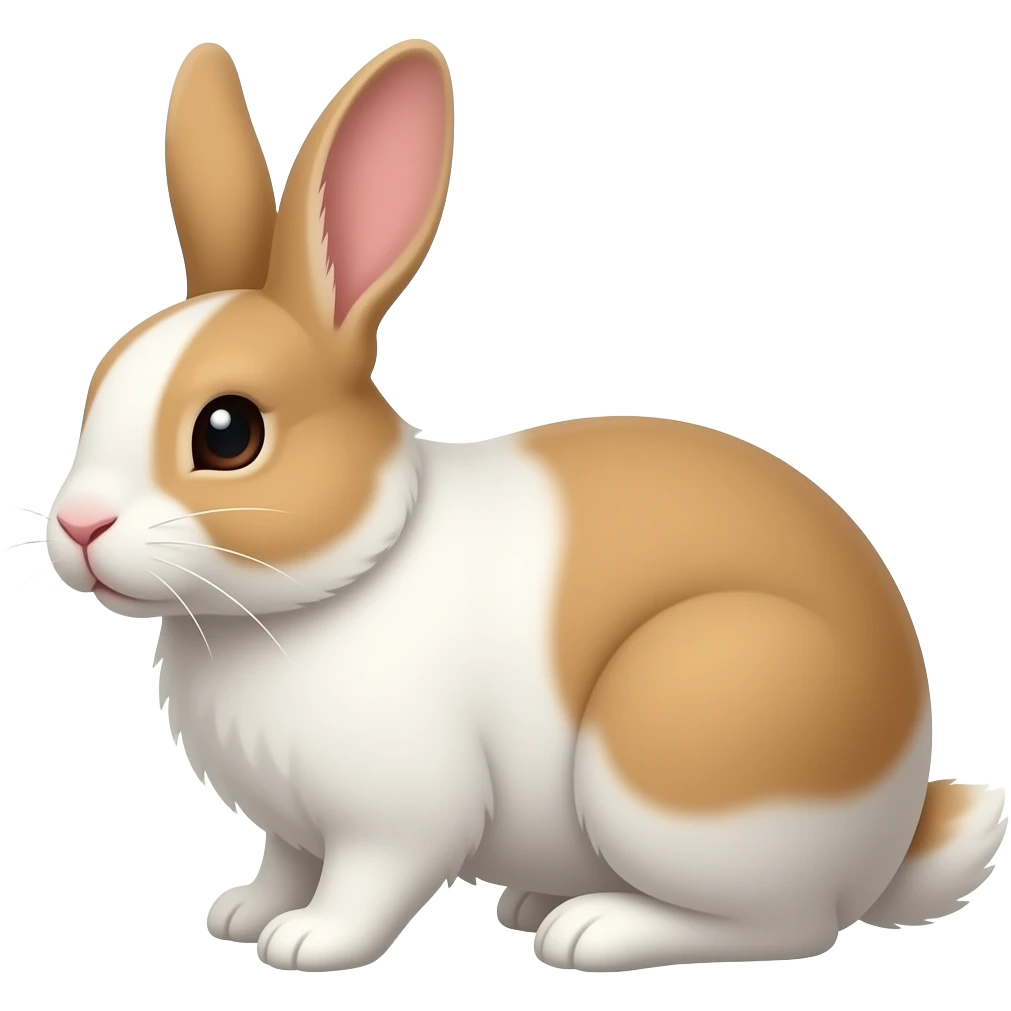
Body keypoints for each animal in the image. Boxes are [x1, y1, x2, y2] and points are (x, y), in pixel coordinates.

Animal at [42, 39, 1006, 974]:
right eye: (97, 380)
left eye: (228, 432)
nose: (79, 527)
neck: (341, 577)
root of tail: (889, 830)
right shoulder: (291, 824)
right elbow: (284, 862)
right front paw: (241, 912)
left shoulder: (395, 819)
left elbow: (366, 883)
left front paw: (307, 942)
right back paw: (535, 902)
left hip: (680, 754)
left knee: (783, 924)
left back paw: (591, 929)